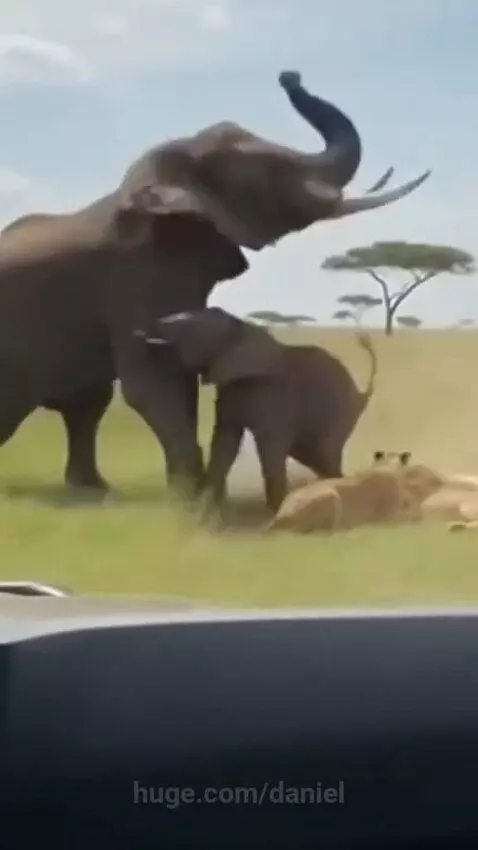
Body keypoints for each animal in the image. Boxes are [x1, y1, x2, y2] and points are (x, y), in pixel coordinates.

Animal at [139, 306, 380, 514]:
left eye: (193, 326)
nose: (146, 328)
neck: (242, 329)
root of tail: (361, 394)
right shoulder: (230, 390)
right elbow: (224, 442)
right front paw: (203, 509)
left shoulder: (272, 394)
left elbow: (269, 447)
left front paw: (276, 512)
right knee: (315, 457)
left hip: (339, 416)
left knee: (325, 454)